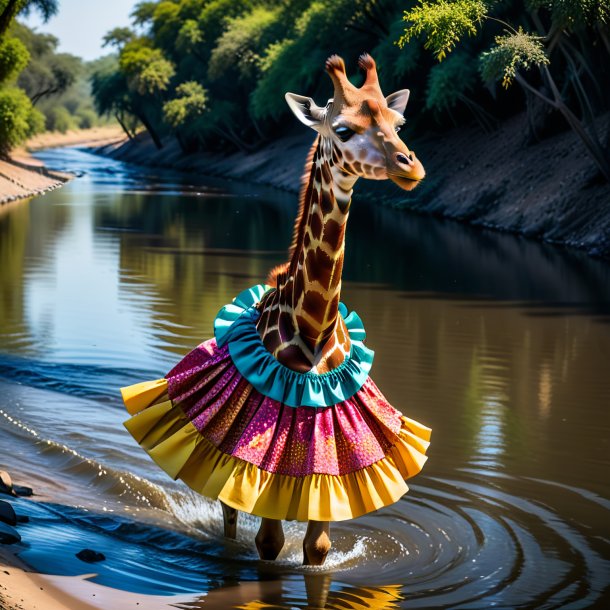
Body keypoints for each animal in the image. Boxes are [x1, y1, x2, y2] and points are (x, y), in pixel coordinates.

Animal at [221, 52, 426, 564]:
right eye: (344, 130)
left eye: (398, 122)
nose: (411, 166)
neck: (313, 330)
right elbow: (268, 543)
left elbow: (317, 547)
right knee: (229, 515)